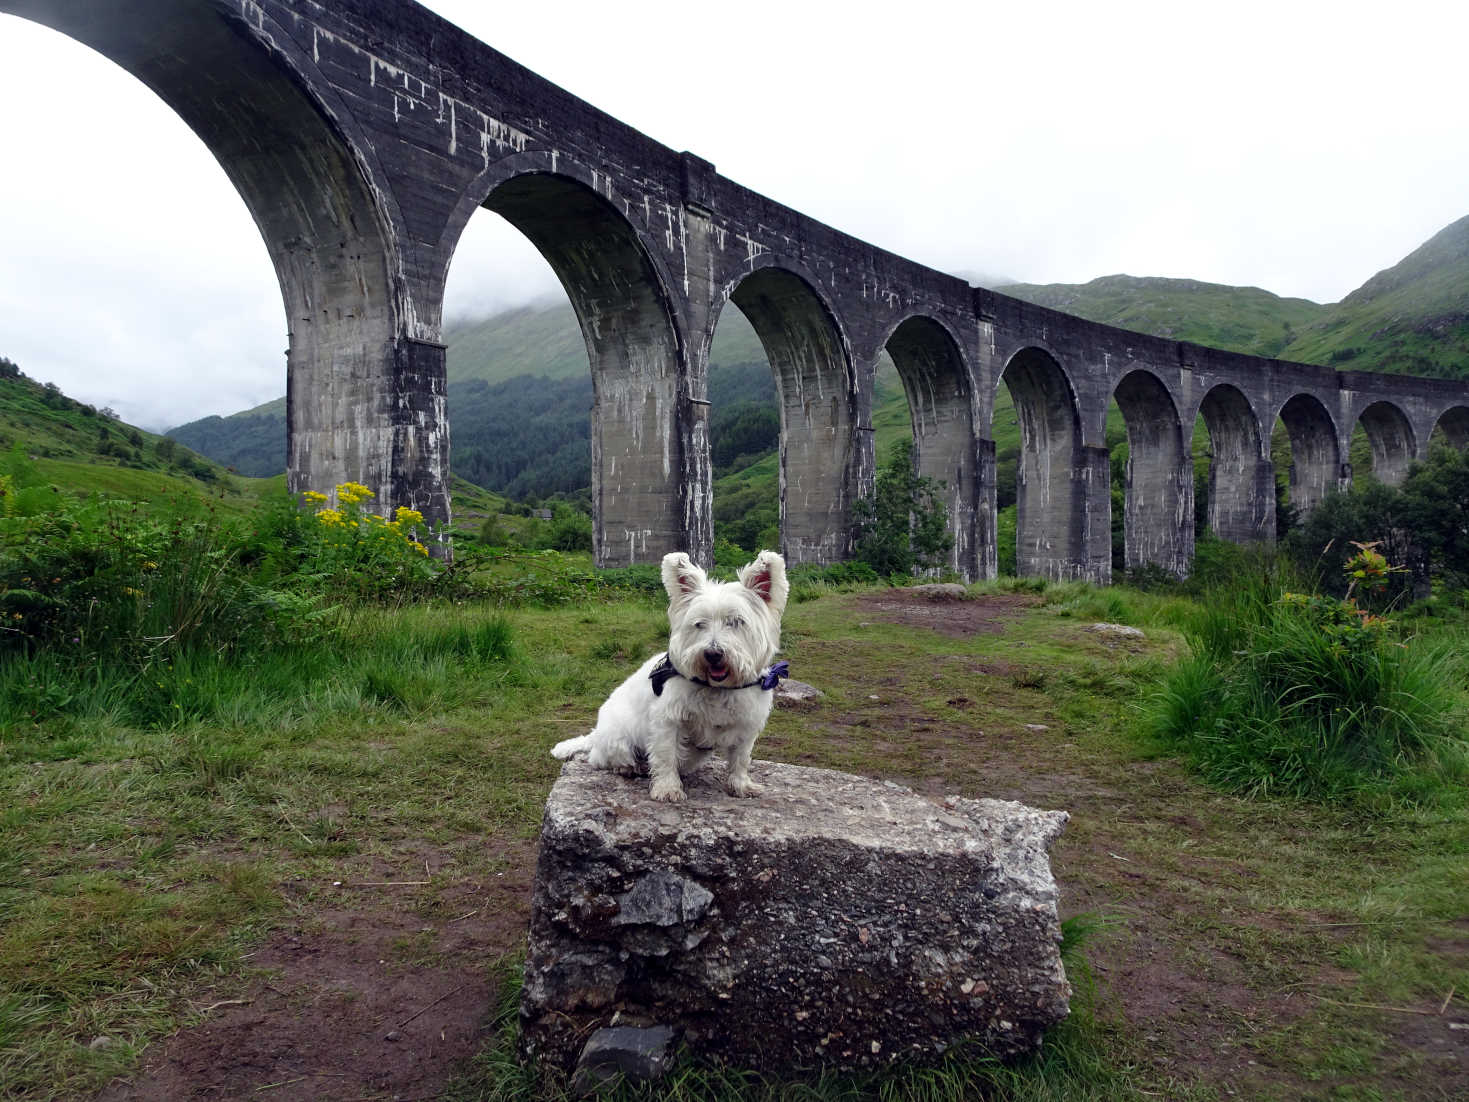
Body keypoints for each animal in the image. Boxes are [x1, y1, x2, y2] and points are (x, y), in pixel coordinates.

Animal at [552, 549, 787, 805]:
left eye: (736, 621)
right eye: (699, 624)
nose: (712, 654)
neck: (716, 687)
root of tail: (596, 733)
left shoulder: (746, 724)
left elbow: (741, 759)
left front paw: (742, 786)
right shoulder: (668, 719)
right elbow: (666, 756)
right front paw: (667, 789)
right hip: (619, 738)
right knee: (602, 758)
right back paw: (629, 767)